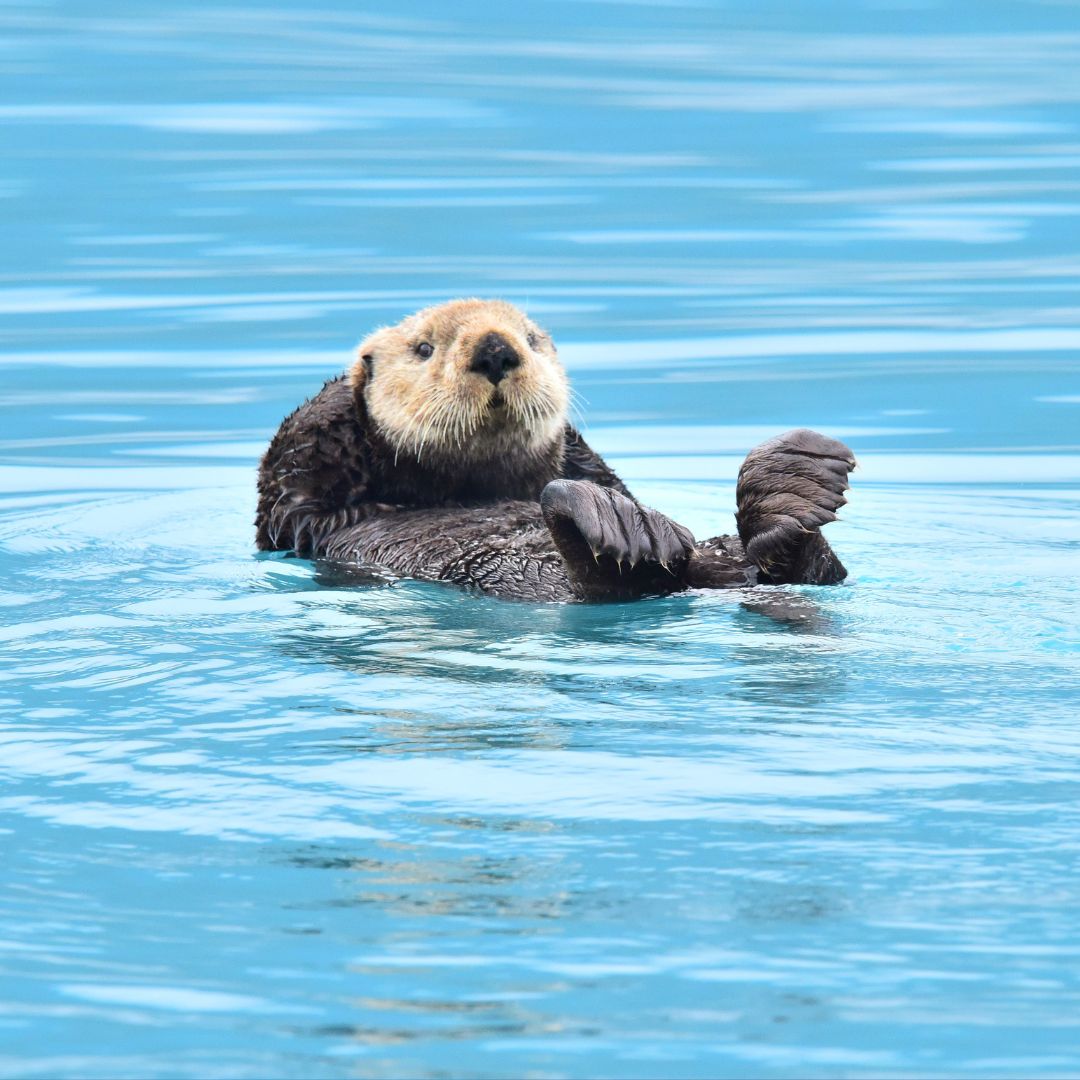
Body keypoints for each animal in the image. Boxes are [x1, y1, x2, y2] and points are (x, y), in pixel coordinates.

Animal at [256, 299, 855, 602]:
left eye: (531, 339)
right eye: (424, 348)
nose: (495, 349)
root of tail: (690, 579)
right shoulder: (297, 503)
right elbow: (298, 472)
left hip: (723, 555)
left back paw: (793, 481)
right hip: (506, 570)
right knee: (602, 582)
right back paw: (613, 527)